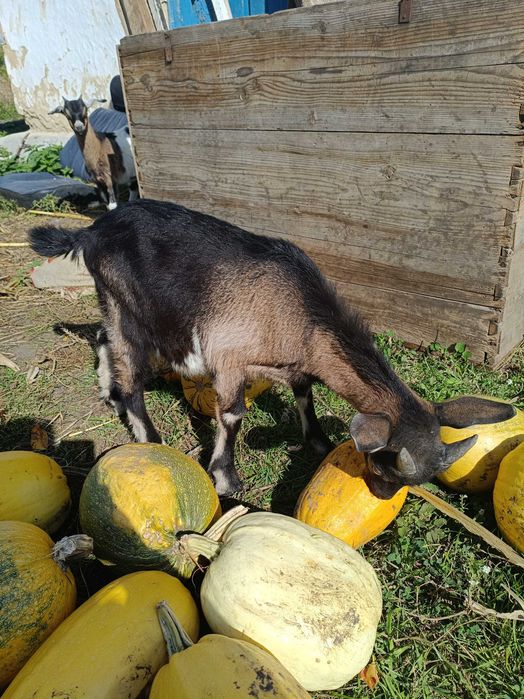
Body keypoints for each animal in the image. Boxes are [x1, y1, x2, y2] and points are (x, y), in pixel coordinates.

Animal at [28, 199, 514, 497]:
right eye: (384, 465)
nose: (379, 495)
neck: (296, 312)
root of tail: (91, 230)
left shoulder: (295, 363)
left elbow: (304, 393)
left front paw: (316, 440)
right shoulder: (226, 358)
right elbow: (232, 416)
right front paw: (226, 477)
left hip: (115, 303)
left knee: (103, 339)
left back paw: (109, 395)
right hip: (126, 303)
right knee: (130, 367)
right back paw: (149, 437)